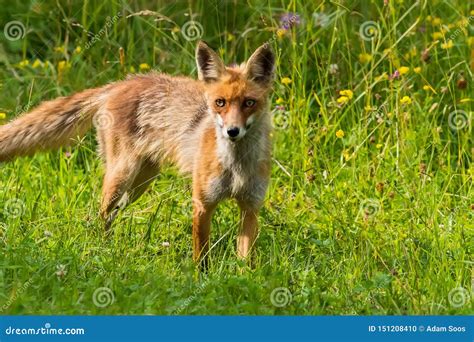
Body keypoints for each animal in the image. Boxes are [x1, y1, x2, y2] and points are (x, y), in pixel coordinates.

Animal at [0, 40, 274, 264]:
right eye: (220, 103)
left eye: (249, 103)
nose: (232, 131)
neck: (237, 166)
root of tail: (120, 83)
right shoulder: (202, 203)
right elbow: (201, 257)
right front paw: (201, 280)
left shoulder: (250, 207)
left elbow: (245, 260)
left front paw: (243, 281)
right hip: (121, 176)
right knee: (100, 215)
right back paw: (102, 252)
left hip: (141, 182)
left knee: (112, 215)